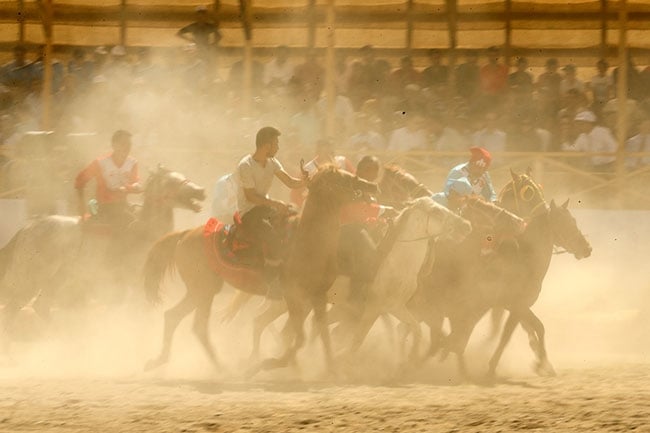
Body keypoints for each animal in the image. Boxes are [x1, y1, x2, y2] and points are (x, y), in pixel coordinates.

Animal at [0, 167, 204, 342]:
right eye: (171, 181)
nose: (201, 191)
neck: (144, 230)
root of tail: (27, 229)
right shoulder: (134, 283)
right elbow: (135, 313)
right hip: (29, 278)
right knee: (13, 308)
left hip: (57, 280)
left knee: (40, 306)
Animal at [141, 165, 374, 372]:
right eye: (341, 178)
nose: (370, 185)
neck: (306, 242)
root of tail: (185, 235)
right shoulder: (293, 296)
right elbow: (299, 338)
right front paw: (266, 364)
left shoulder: (318, 295)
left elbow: (323, 335)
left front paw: (331, 370)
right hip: (204, 291)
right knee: (199, 326)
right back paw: (224, 368)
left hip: (199, 291)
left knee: (172, 316)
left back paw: (159, 361)